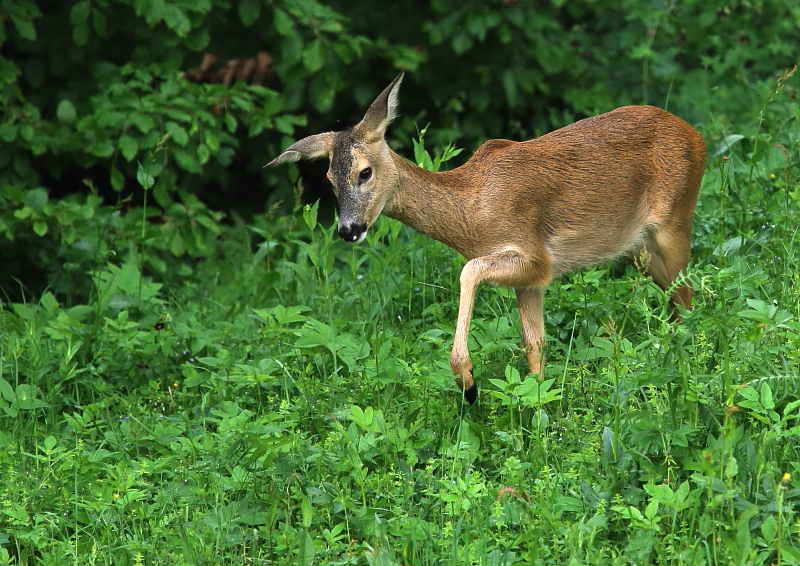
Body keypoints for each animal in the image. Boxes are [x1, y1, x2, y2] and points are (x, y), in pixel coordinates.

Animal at [268, 73, 708, 406]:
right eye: (328, 179)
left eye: (364, 172)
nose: (348, 229)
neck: (471, 212)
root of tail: (697, 136)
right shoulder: (533, 280)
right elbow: (535, 344)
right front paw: (538, 407)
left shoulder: (535, 255)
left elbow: (469, 271)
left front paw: (468, 382)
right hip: (637, 249)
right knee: (675, 295)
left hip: (676, 218)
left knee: (687, 294)